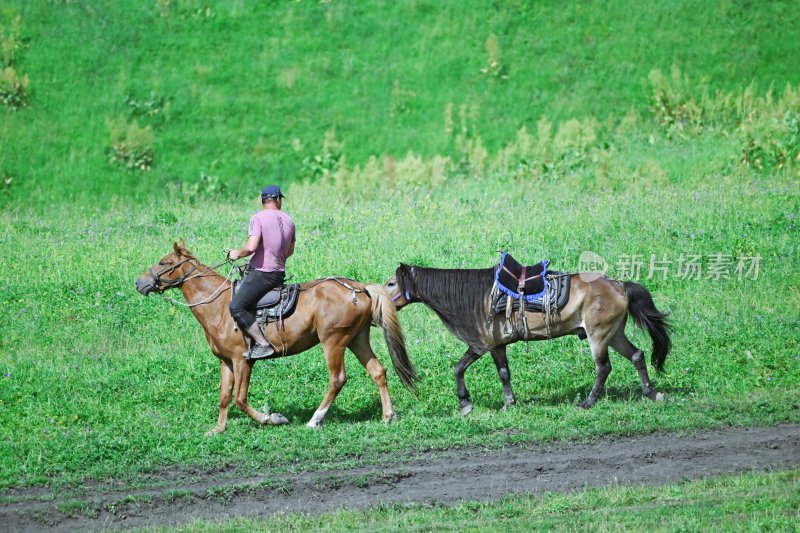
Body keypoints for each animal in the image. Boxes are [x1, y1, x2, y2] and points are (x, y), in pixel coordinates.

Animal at [135, 241, 418, 432]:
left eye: (163, 262)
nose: (140, 282)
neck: (219, 307)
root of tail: (357, 288)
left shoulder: (242, 361)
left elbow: (240, 399)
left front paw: (272, 418)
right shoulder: (226, 362)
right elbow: (224, 397)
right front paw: (218, 429)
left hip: (333, 341)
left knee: (337, 379)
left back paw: (315, 419)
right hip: (357, 339)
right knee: (378, 371)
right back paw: (387, 415)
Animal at [384, 266, 672, 416]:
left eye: (390, 284)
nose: (383, 300)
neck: (479, 298)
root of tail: (619, 285)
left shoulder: (484, 344)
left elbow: (462, 368)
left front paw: (466, 403)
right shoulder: (496, 346)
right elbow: (499, 372)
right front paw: (508, 402)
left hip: (598, 335)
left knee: (603, 368)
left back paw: (588, 402)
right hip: (614, 334)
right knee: (637, 355)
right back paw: (650, 392)